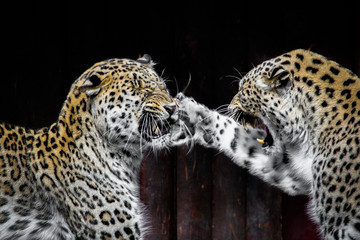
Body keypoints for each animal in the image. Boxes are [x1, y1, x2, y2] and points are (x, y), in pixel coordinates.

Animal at [173, 49, 358, 240]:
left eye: (242, 90)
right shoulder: (292, 169)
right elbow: (236, 136)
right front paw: (193, 113)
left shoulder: (339, 226)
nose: (230, 106)